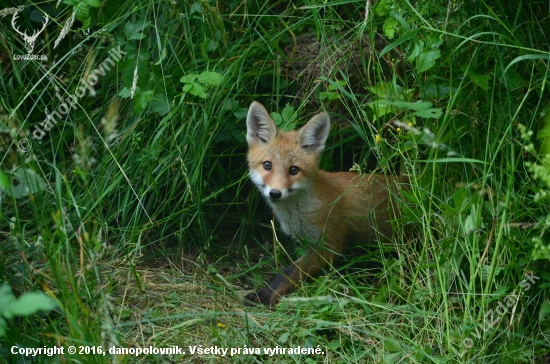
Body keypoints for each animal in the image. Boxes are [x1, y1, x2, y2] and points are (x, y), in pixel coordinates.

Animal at [244, 101, 408, 306]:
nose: (275, 193)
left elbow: (288, 272)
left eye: (293, 170)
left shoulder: (329, 245)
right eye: (267, 165)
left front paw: (265, 294)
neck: (300, 213)